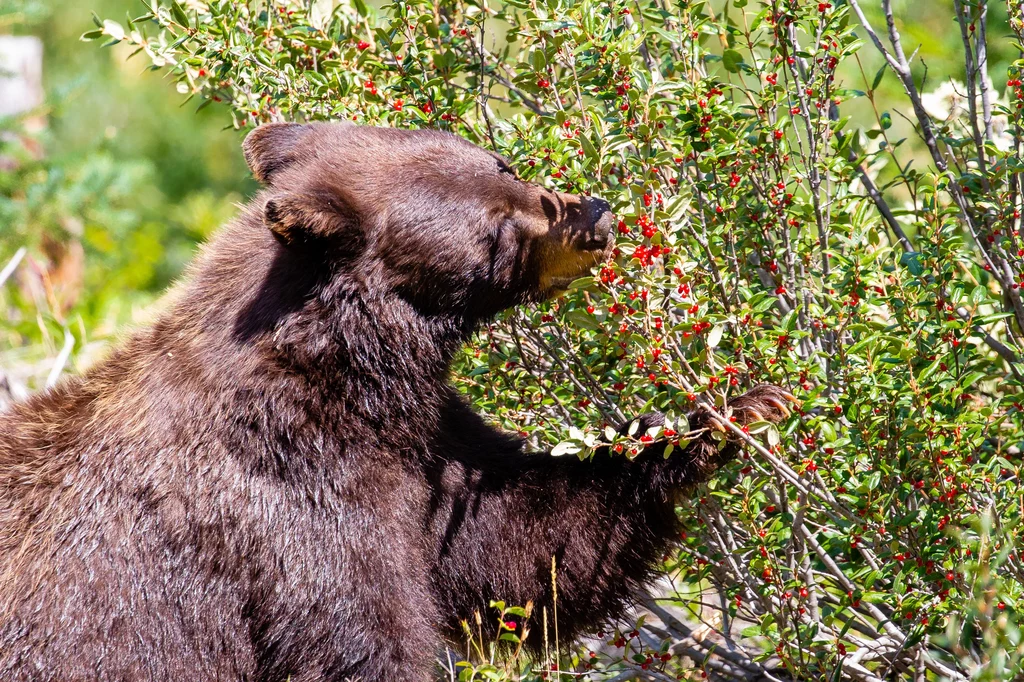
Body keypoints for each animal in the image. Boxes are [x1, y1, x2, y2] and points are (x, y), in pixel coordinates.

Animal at [0, 123, 790, 679]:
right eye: (493, 231)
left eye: (501, 164)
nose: (593, 214)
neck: (350, 388)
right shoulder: (292, 513)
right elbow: (365, 632)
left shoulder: (424, 449)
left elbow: (528, 537)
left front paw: (720, 415)